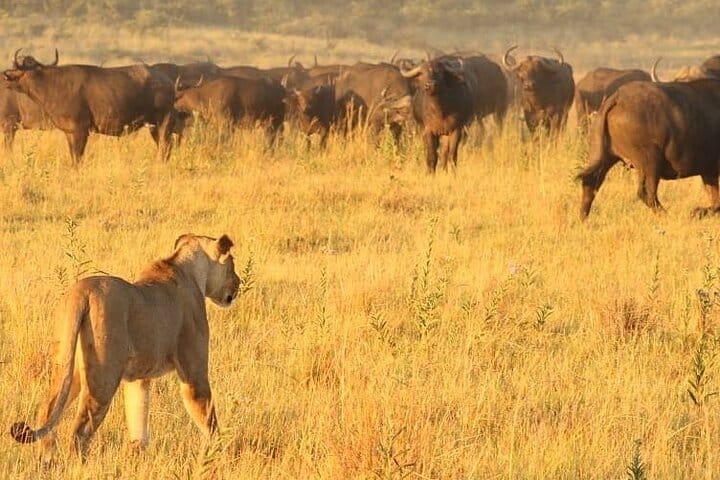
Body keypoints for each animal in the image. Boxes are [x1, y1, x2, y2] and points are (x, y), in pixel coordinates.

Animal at [9, 233, 242, 463]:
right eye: (232, 264)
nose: (239, 283)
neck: (191, 271)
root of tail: (83, 290)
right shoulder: (194, 372)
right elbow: (208, 418)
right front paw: (217, 454)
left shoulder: (138, 378)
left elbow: (138, 419)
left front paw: (138, 455)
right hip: (103, 378)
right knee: (80, 431)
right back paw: (81, 466)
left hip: (66, 365)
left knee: (47, 412)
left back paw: (46, 462)